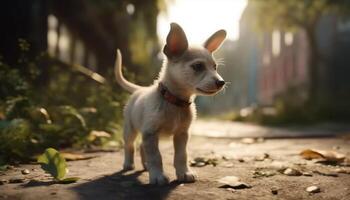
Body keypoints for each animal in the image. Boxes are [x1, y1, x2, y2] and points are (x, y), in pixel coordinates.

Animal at [115, 22, 227, 185]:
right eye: (198, 66)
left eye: (215, 67)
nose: (221, 82)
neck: (175, 102)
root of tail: (140, 89)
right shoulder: (151, 132)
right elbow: (156, 156)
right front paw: (158, 176)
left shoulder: (181, 134)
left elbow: (181, 156)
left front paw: (184, 173)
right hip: (131, 130)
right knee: (129, 145)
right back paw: (128, 164)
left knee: (142, 146)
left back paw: (145, 165)